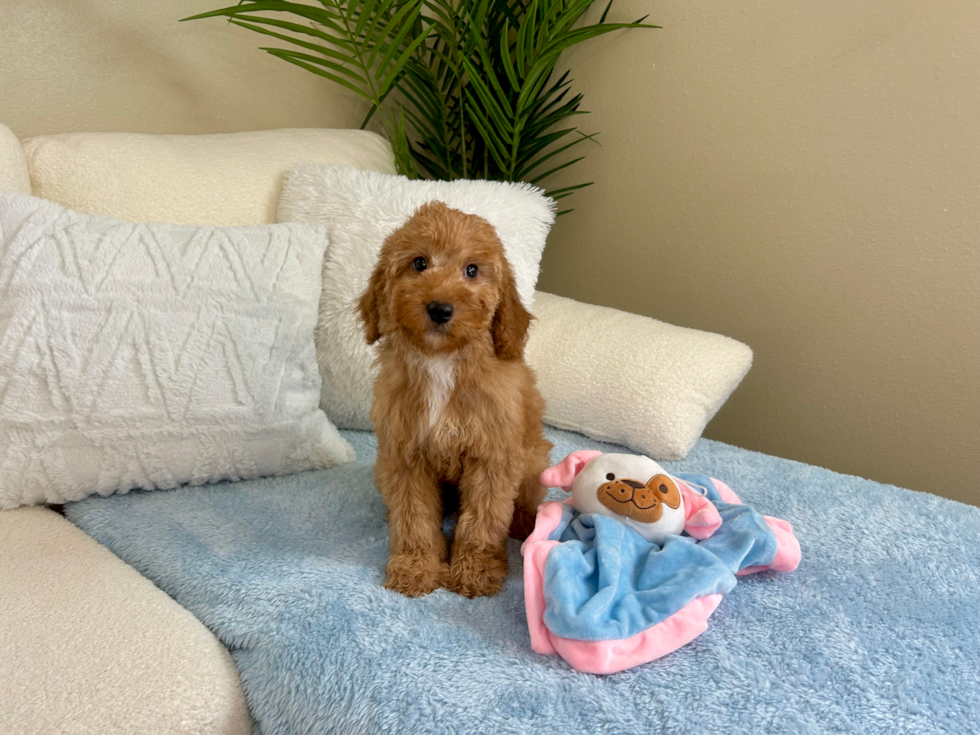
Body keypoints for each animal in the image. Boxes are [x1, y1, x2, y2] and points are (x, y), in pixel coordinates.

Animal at [360, 201, 556, 600]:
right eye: (419, 263)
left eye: (472, 270)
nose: (440, 308)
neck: (442, 360)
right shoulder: (405, 454)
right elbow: (414, 516)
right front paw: (415, 566)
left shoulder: (492, 456)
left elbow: (483, 519)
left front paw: (476, 570)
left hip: (532, 457)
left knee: (528, 498)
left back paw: (523, 522)